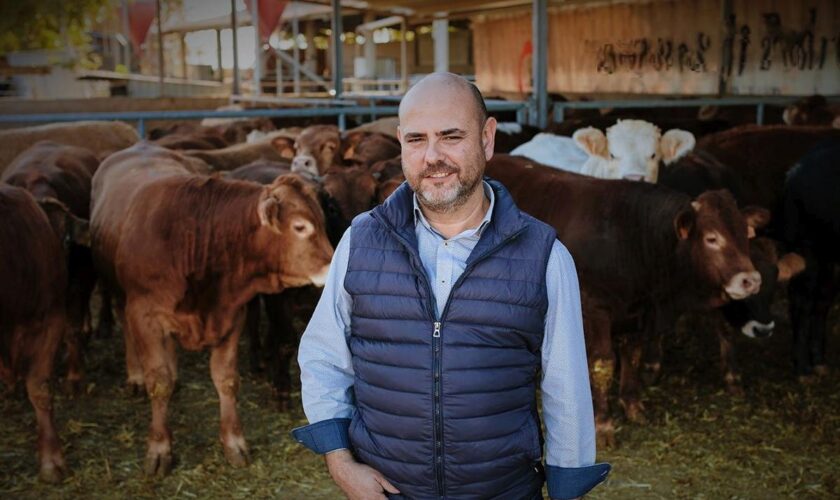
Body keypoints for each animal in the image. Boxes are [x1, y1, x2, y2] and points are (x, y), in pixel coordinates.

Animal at [1, 142, 99, 394]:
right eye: (31, 238)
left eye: (66, 240)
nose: (53, 274)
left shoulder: (77, 281)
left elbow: (72, 328)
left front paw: (74, 378)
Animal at [88, 145, 332, 476]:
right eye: (300, 227)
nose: (334, 265)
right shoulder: (144, 314)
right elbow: (159, 383)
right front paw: (159, 447)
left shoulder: (231, 315)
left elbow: (226, 380)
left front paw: (234, 441)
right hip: (116, 289)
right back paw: (136, 375)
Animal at [486, 154, 768, 448]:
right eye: (712, 238)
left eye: (745, 234)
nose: (750, 280)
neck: (629, 236)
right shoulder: (595, 309)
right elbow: (602, 363)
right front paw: (604, 424)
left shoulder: (636, 311)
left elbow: (633, 355)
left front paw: (633, 406)